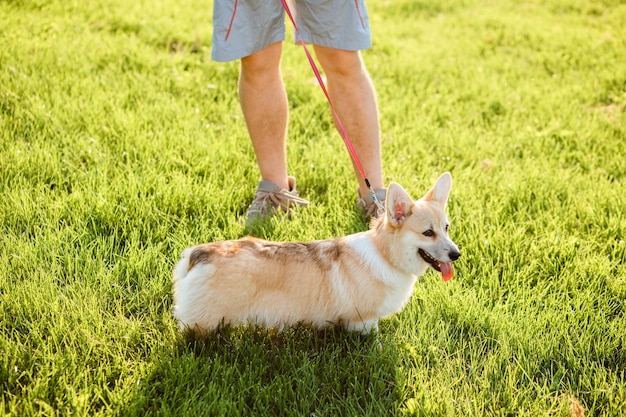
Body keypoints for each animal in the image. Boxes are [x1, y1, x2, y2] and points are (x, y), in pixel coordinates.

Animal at [171, 171, 458, 334]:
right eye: (427, 233)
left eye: (446, 227)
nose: (457, 255)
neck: (385, 254)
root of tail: (198, 254)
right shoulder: (364, 320)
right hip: (206, 323)